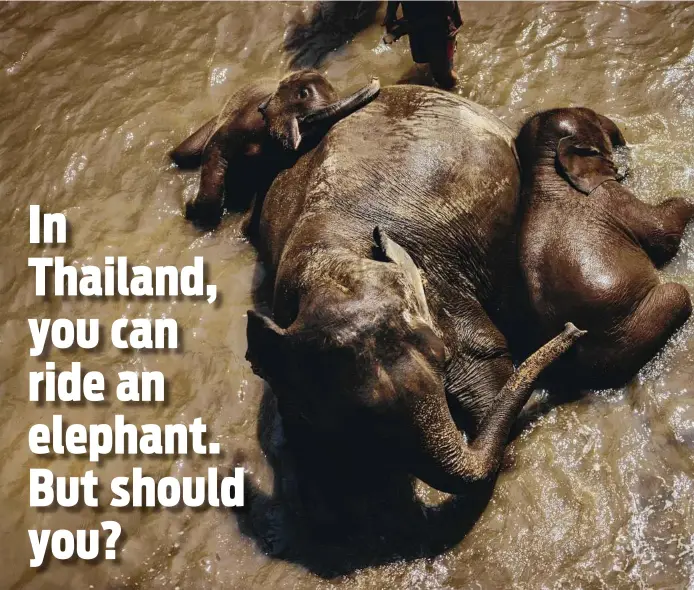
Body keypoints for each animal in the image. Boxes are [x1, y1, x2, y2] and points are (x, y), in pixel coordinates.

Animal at [172, 68, 384, 228]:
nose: (374, 77)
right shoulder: (240, 121)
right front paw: (190, 209)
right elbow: (214, 151)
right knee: (182, 154)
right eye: (304, 92)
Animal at [242, 85, 584, 498]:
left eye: (441, 355)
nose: (573, 329)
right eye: (363, 419)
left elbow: (484, 355)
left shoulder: (438, 282)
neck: (333, 264)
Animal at [516, 108, 694, 390]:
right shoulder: (609, 195)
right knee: (677, 294)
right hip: (629, 332)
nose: (622, 165)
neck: (545, 170)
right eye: (593, 118)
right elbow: (663, 236)